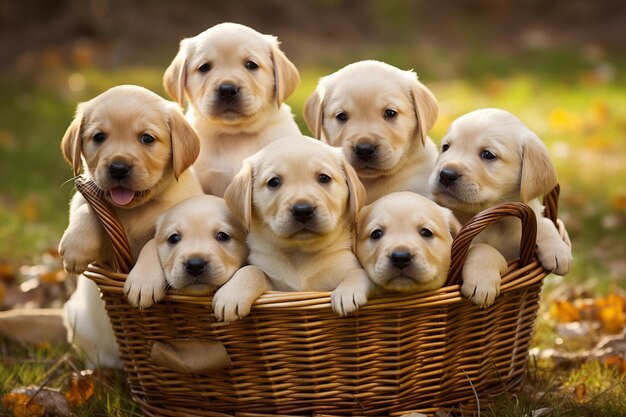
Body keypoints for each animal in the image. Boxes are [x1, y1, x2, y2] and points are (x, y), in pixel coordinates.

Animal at [59, 85, 202, 368]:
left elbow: (153, 242)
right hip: (76, 318)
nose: (118, 168)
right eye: (99, 137)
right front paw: (76, 246)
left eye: (147, 138)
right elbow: (88, 209)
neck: (135, 208)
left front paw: (143, 282)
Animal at [212, 135, 372, 320]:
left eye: (324, 178)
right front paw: (231, 295)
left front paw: (348, 292)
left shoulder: (343, 262)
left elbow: (357, 271)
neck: (299, 252)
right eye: (274, 182)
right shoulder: (273, 284)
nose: (303, 210)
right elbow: (251, 270)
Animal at [428, 108, 572, 306]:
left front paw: (557, 249)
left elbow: (543, 222)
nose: (446, 174)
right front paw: (481, 282)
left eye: (488, 154)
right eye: (446, 147)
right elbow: (482, 247)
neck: (496, 222)